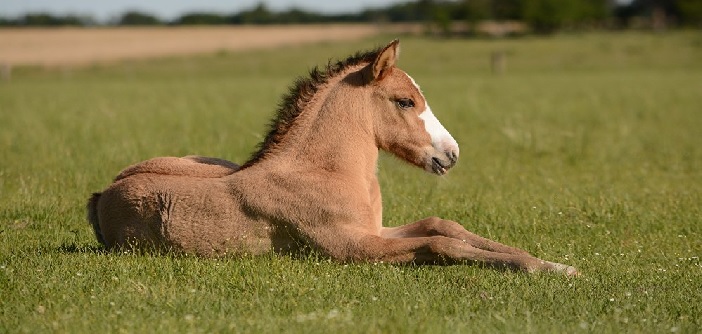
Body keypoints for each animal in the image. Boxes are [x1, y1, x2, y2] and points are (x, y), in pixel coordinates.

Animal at [88, 39, 580, 276]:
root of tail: (102, 192)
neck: (324, 172)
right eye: (404, 101)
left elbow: (445, 226)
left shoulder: (376, 230)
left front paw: (554, 264)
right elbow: (441, 244)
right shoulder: (352, 248)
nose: (451, 153)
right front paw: (541, 269)